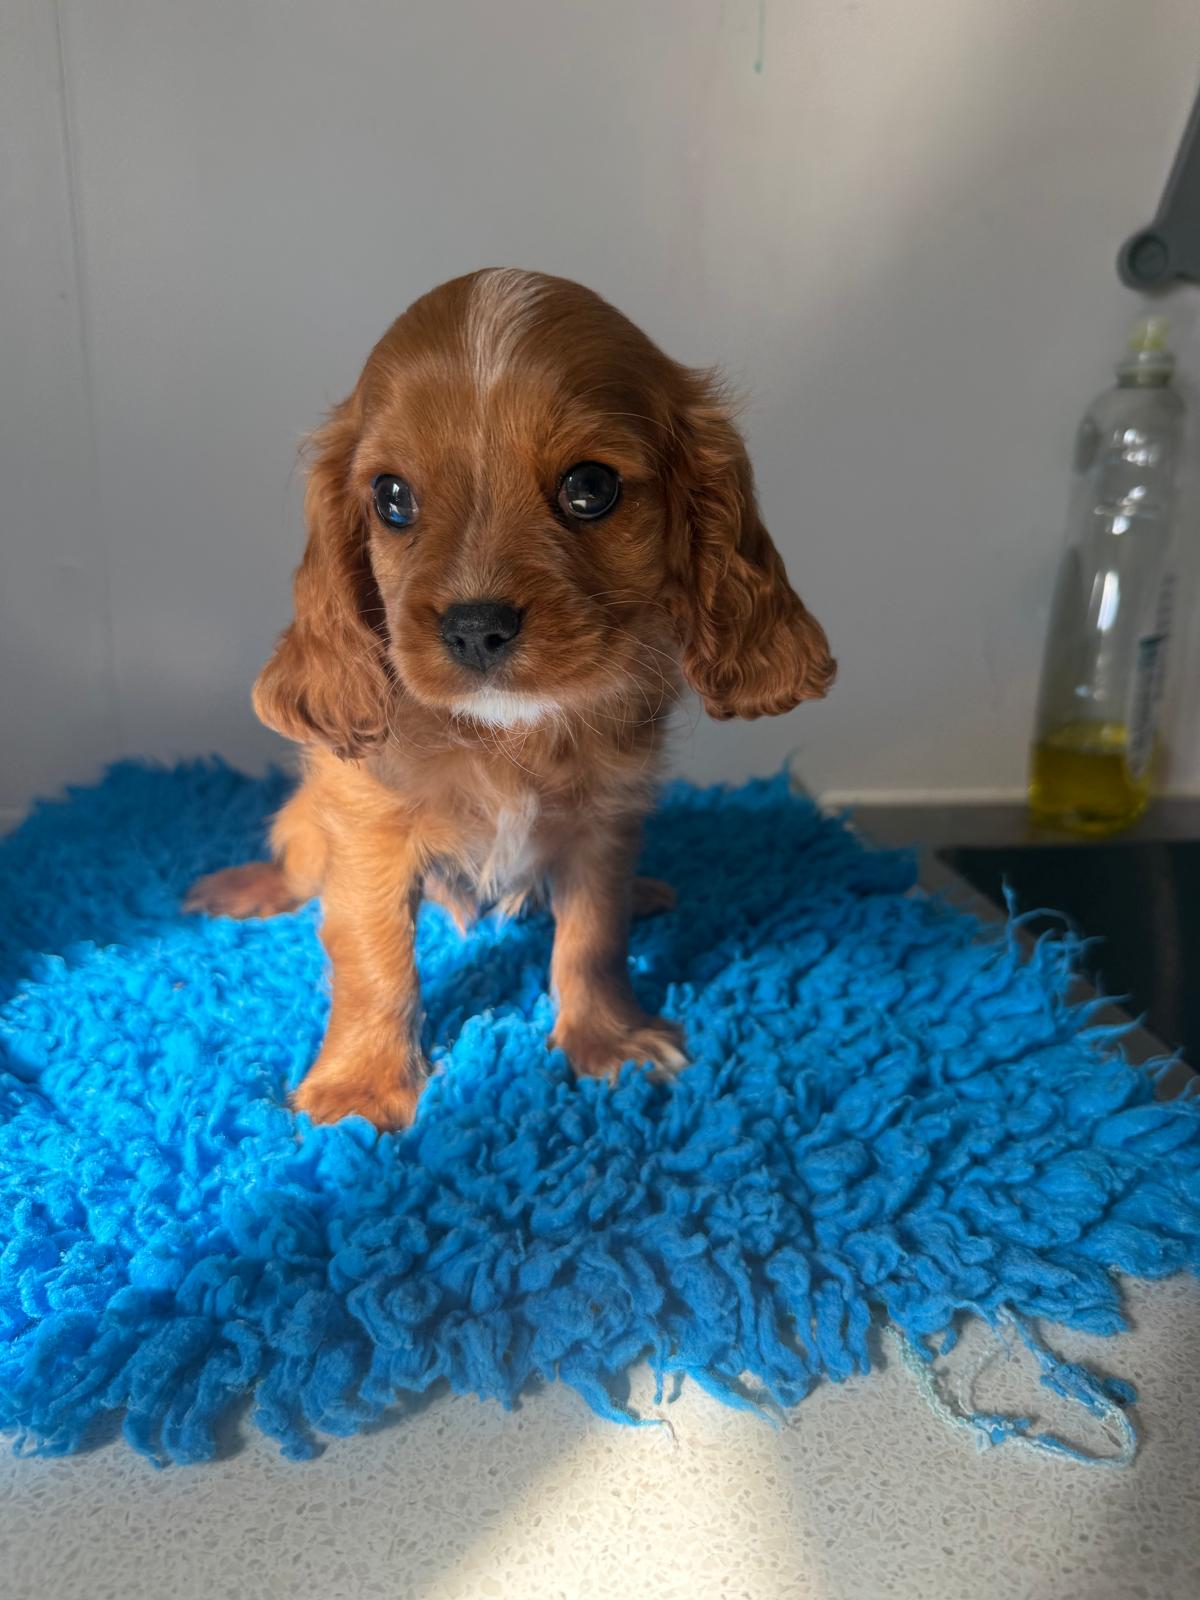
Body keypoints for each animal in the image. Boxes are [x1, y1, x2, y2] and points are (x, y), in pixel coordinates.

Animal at [187, 269, 835, 1129]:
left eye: (590, 488)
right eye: (392, 497)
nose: (474, 628)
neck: (507, 732)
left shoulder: (604, 824)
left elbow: (591, 937)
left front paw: (604, 1038)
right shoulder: (368, 834)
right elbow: (371, 959)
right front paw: (363, 1084)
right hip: (306, 821)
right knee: (299, 864)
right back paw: (250, 888)